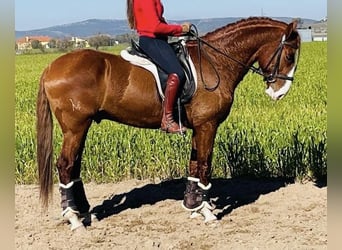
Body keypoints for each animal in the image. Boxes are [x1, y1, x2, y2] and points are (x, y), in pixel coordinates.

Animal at [36, 16, 300, 229]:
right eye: (289, 55)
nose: (279, 93)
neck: (215, 61)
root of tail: (51, 67)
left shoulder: (198, 128)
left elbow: (194, 166)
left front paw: (193, 207)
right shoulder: (208, 125)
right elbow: (204, 165)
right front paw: (207, 213)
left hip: (82, 127)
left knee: (74, 167)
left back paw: (84, 213)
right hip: (76, 127)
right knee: (65, 166)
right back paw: (74, 219)